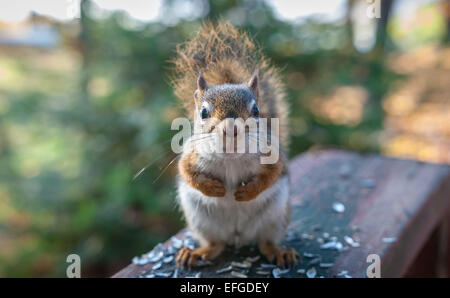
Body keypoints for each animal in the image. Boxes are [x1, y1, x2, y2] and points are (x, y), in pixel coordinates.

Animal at [171, 20, 298, 268]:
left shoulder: (272, 153)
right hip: (201, 219)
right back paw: (197, 253)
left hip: (275, 215)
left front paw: (248, 192)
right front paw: (213, 188)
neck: (230, 156)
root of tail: (238, 236)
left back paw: (279, 252)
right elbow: (185, 170)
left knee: (265, 242)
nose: (231, 128)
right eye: (203, 112)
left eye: (256, 110)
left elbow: (274, 172)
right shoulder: (191, 153)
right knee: (216, 245)